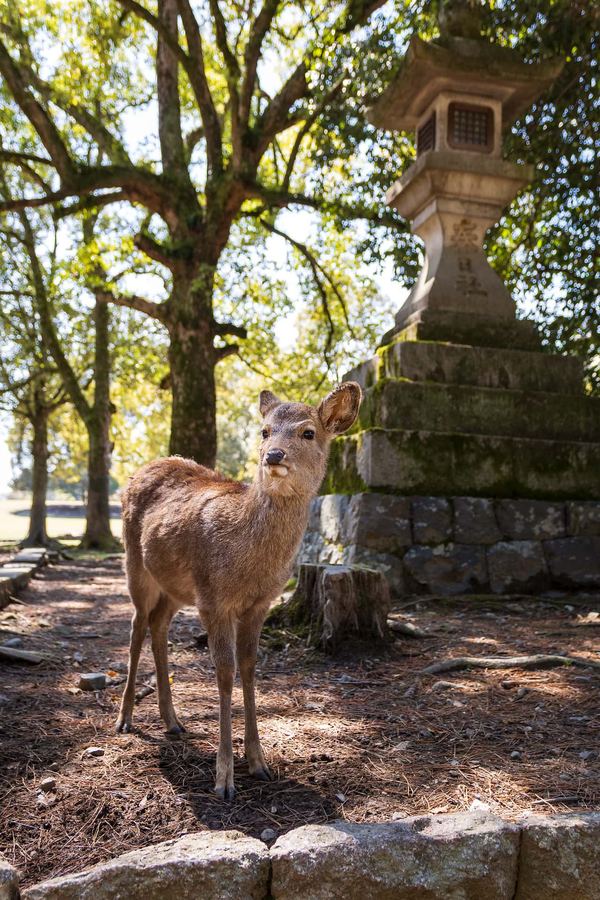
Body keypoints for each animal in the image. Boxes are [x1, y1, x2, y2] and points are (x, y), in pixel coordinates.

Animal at [115, 381, 362, 800]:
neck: (249, 564)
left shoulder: (260, 603)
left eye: (308, 432)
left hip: (175, 588)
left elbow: (248, 667)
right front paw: (224, 779)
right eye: (264, 431)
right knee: (135, 628)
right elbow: (225, 672)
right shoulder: (214, 599)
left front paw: (259, 763)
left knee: (158, 626)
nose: (273, 455)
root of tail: (140, 471)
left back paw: (173, 721)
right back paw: (125, 719)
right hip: (136, 565)